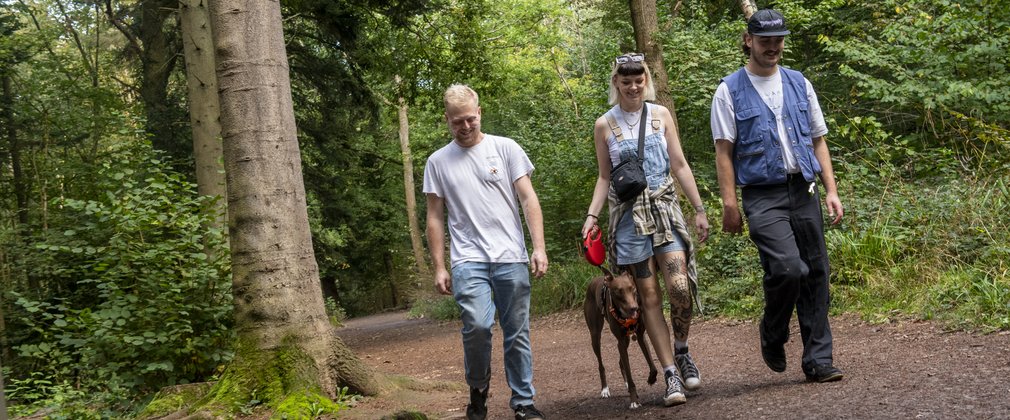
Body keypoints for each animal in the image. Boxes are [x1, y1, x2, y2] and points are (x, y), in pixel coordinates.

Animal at [585, 266, 662, 407]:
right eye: (618, 291)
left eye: (632, 288)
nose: (634, 308)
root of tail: (594, 280)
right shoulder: (620, 341)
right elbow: (631, 377)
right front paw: (634, 401)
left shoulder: (640, 336)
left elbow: (652, 365)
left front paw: (651, 378)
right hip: (595, 336)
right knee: (601, 364)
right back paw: (605, 389)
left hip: (626, 340)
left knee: (621, 362)